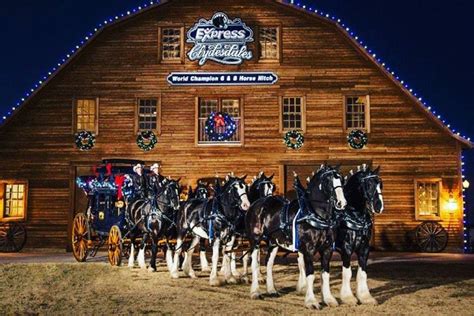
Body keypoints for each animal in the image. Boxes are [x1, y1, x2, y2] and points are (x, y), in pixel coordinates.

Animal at [246, 165, 346, 308]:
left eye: (342, 180)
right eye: (328, 181)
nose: (341, 203)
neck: (315, 215)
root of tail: (257, 203)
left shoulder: (327, 249)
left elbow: (325, 274)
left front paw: (328, 299)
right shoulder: (308, 250)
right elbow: (310, 274)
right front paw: (311, 301)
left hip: (274, 242)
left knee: (269, 263)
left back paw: (271, 290)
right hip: (255, 240)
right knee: (255, 264)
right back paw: (255, 292)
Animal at [336, 165, 384, 306]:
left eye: (381, 184)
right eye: (368, 184)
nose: (379, 206)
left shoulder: (364, 248)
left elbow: (362, 273)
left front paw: (365, 297)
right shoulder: (346, 249)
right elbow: (347, 273)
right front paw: (348, 298)